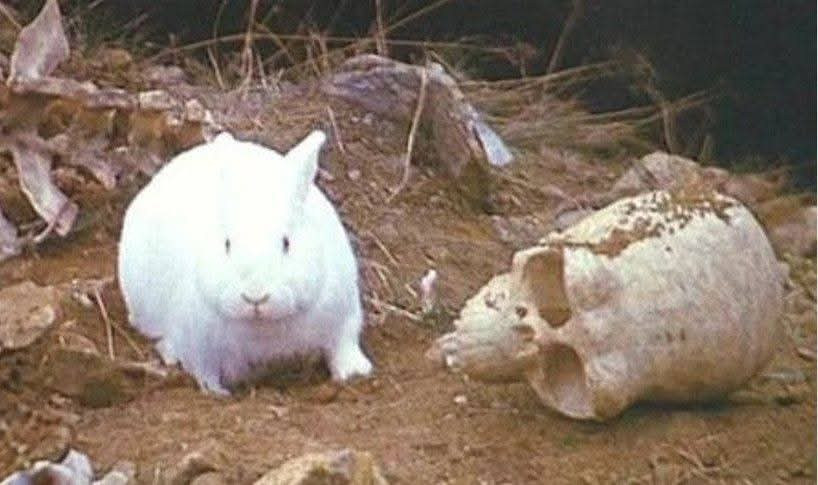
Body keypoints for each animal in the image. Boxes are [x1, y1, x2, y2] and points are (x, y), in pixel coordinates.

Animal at [117, 130, 373, 395]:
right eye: (227, 244)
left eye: (286, 243)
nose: (255, 297)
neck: (262, 327)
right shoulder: (197, 346)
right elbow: (204, 372)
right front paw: (218, 393)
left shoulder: (344, 315)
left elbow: (343, 345)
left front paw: (355, 372)